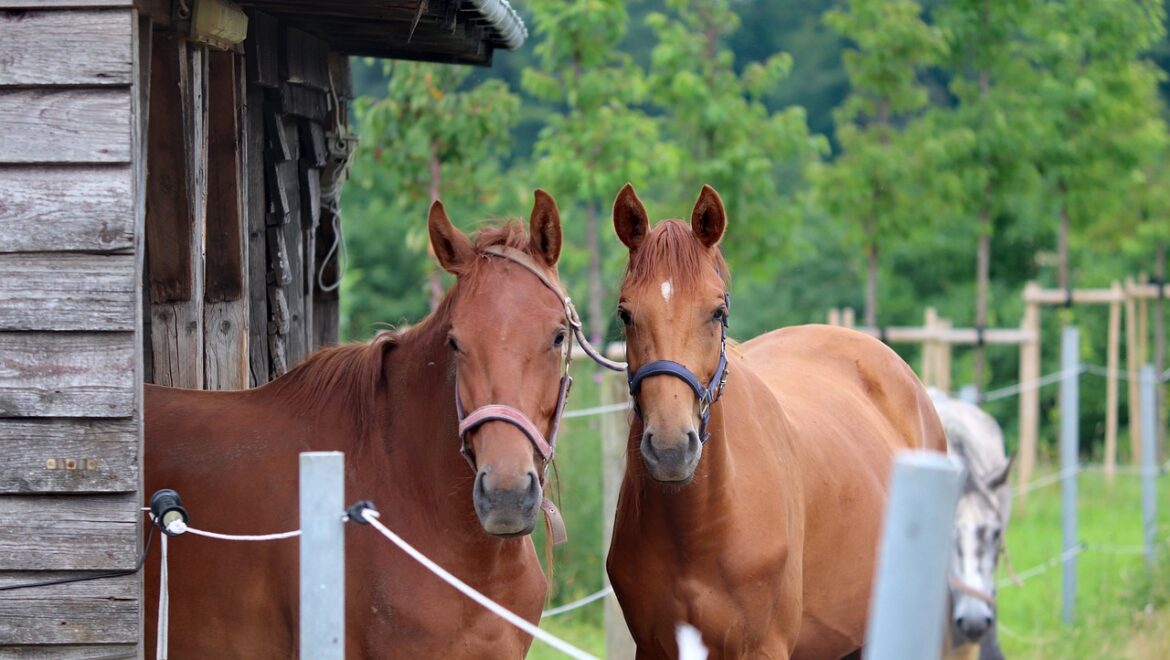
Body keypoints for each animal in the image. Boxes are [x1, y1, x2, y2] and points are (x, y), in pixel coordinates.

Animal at [608, 182, 945, 655]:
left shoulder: (762, 649)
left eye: (718, 312)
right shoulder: (654, 648)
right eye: (626, 314)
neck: (700, 527)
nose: (671, 449)